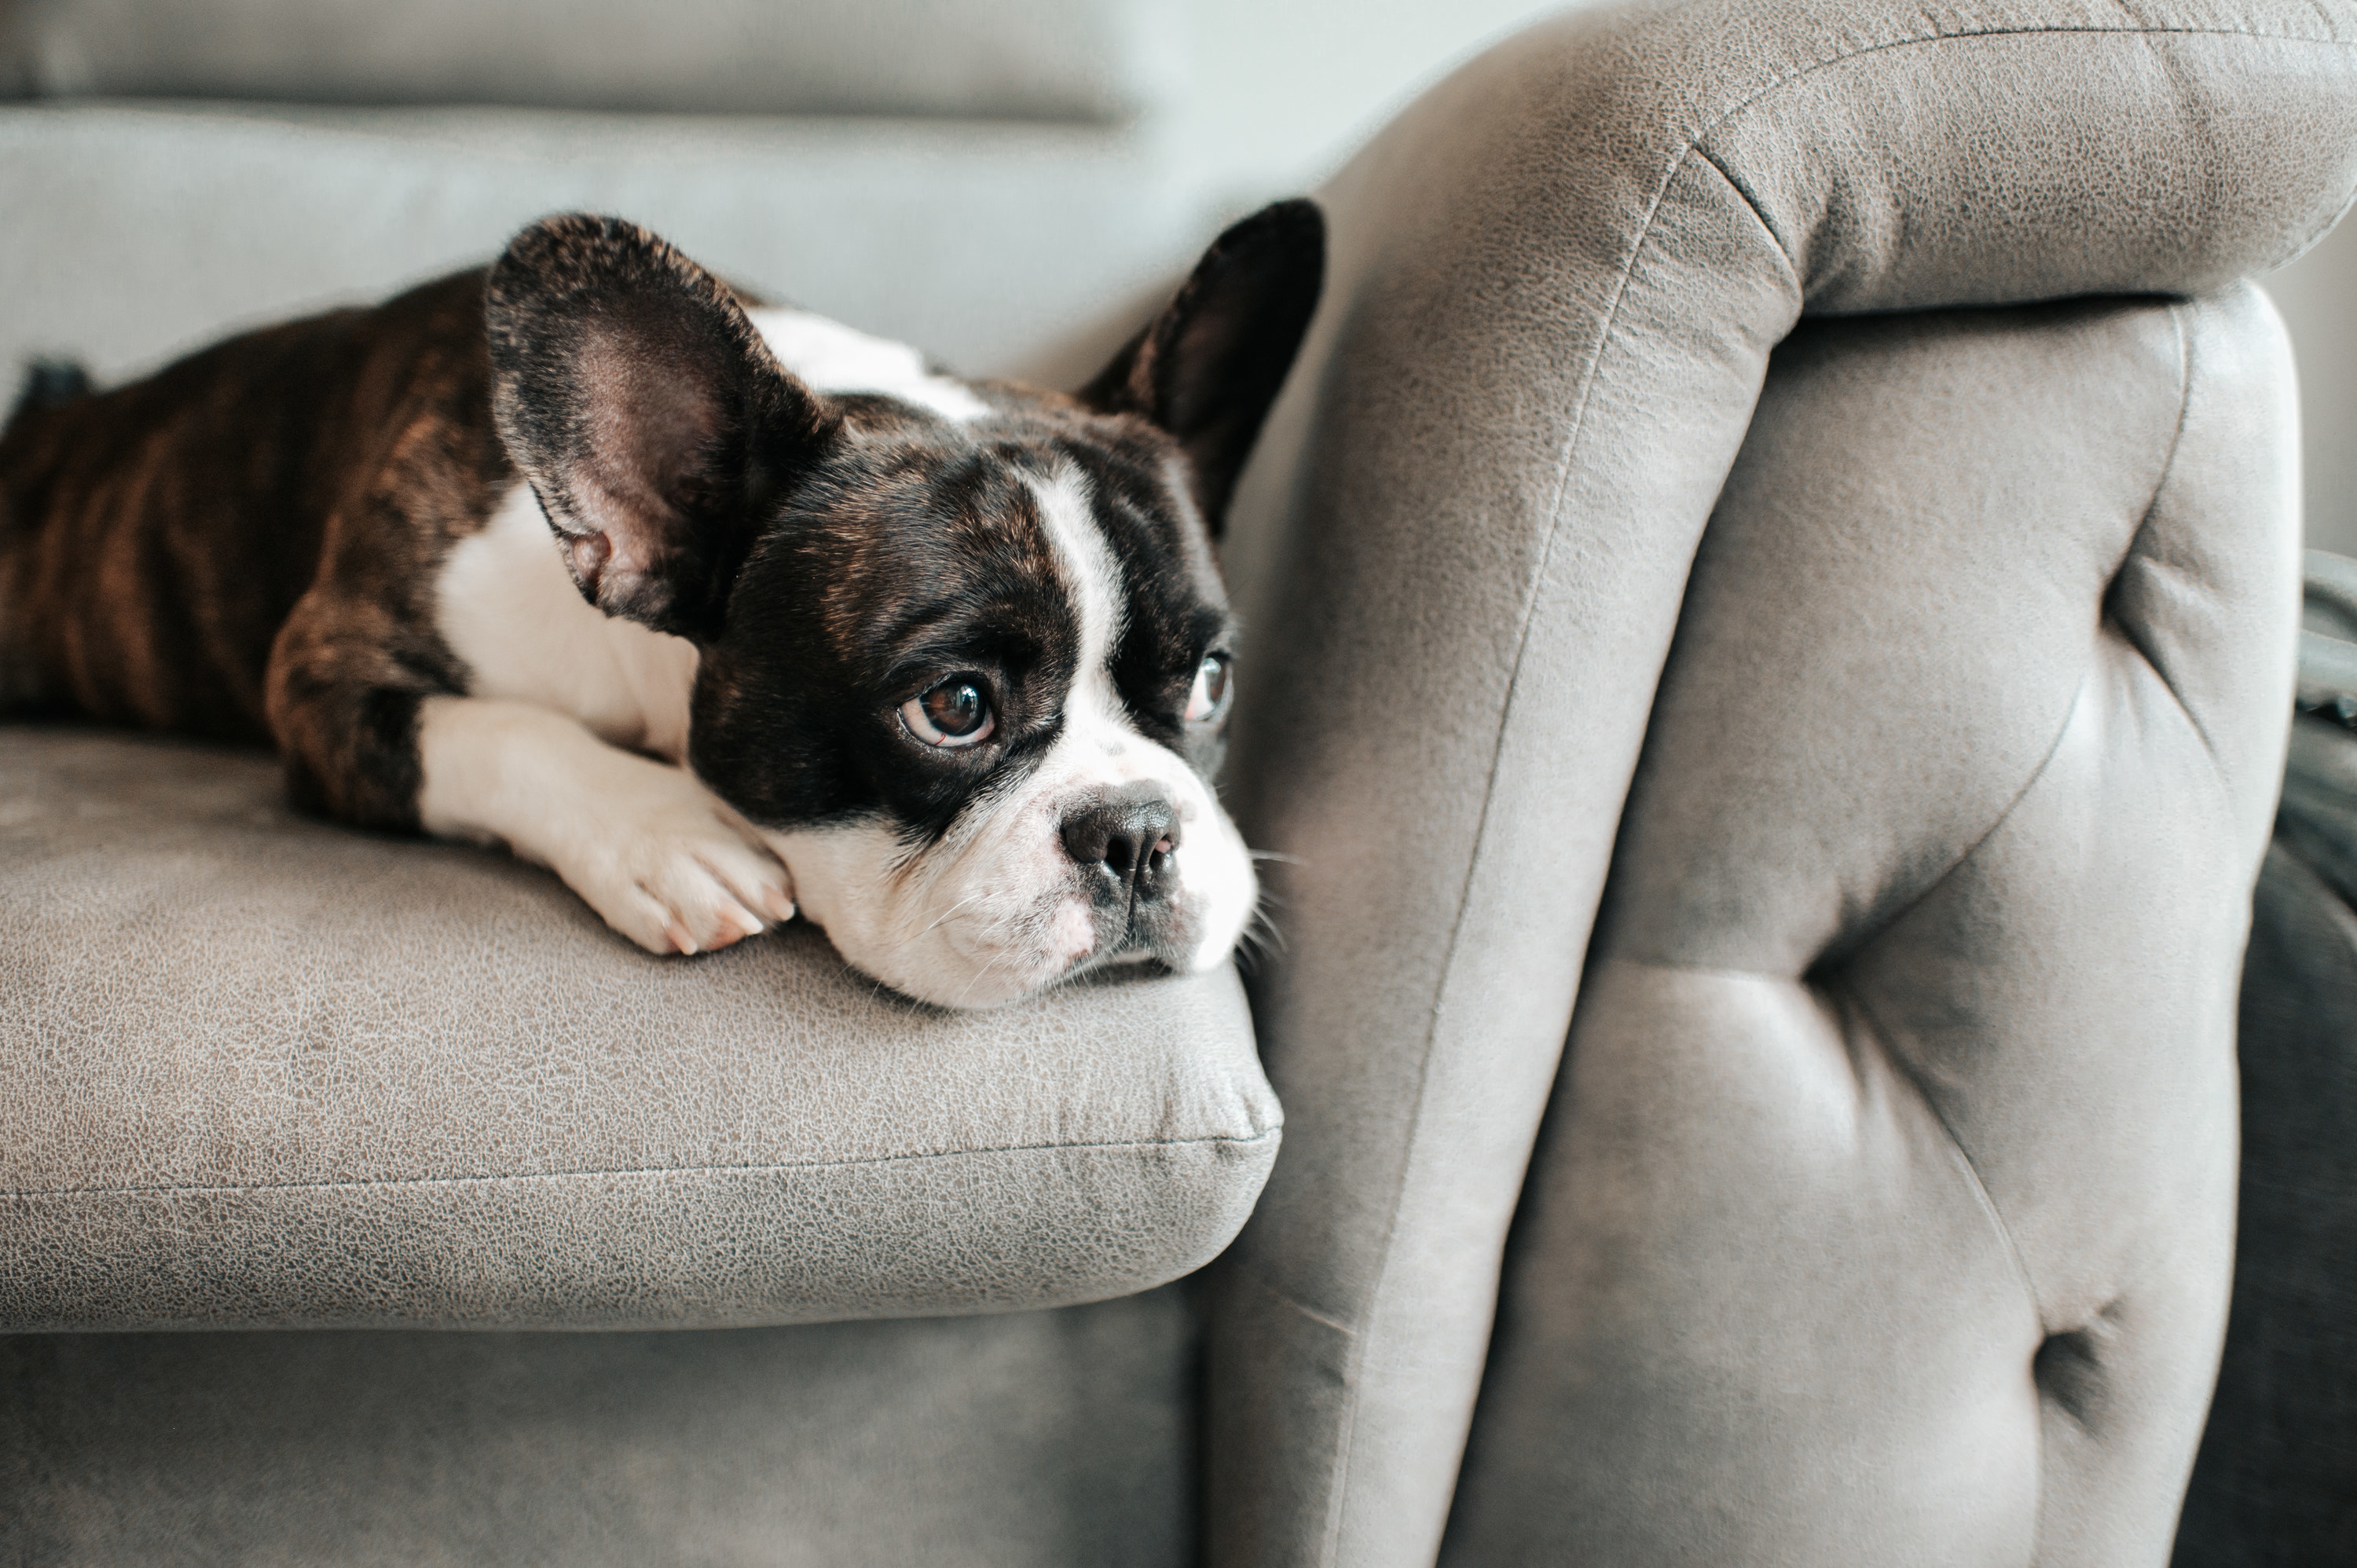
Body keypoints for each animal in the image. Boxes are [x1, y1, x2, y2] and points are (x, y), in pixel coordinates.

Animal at [0, 205, 1329, 1004]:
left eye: (1211, 681)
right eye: (954, 708)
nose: (1139, 831)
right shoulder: (328, 674)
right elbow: (499, 730)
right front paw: (664, 834)